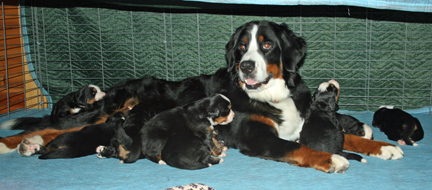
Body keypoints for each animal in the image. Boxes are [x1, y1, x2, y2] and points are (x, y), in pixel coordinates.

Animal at [97, 93, 235, 169]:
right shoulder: (204, 132)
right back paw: (160, 160)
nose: (233, 116)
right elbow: (212, 144)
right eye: (227, 110)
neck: (203, 112)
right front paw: (220, 153)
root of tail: (140, 134)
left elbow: (214, 139)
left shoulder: (209, 130)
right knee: (149, 153)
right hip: (160, 139)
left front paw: (221, 147)